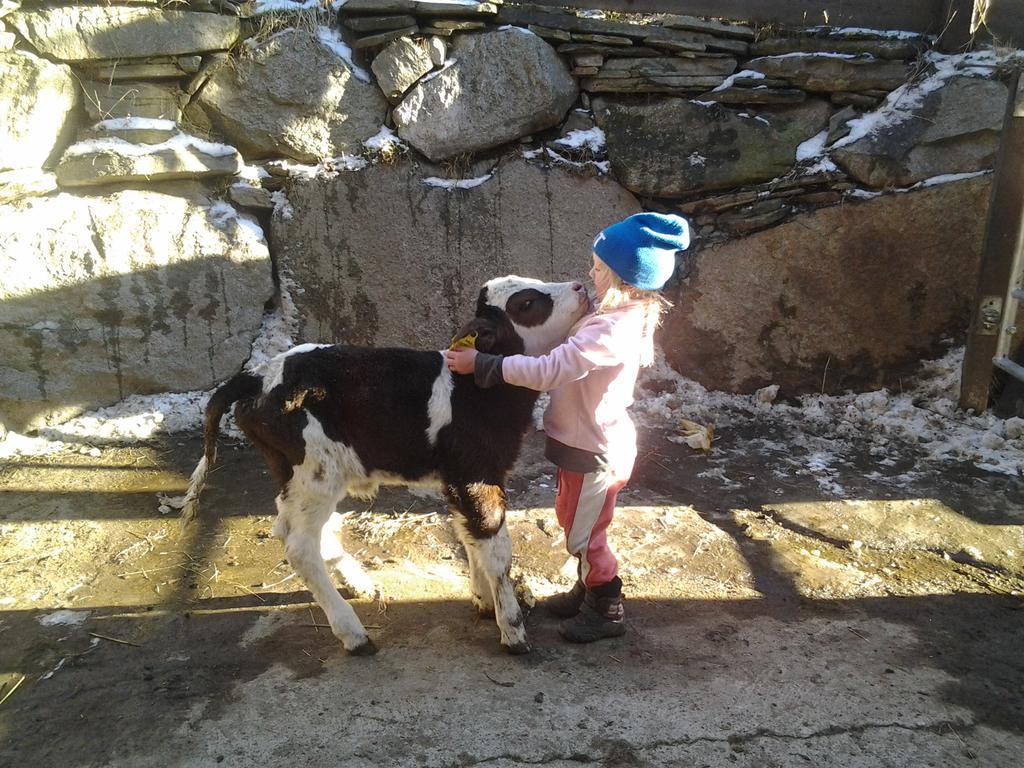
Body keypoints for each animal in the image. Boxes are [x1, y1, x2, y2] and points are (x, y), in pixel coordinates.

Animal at [180, 276, 589, 655]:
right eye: (526, 303)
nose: (581, 286)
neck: (476, 390)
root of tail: (258, 374)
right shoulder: (478, 472)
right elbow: (496, 549)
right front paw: (512, 629)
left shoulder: (460, 476)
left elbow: (469, 535)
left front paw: (483, 601)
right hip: (316, 472)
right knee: (299, 545)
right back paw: (353, 634)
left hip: (301, 476)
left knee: (296, 527)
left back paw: (358, 583)